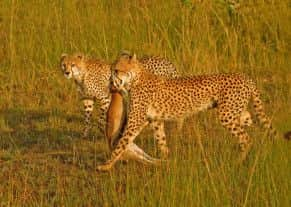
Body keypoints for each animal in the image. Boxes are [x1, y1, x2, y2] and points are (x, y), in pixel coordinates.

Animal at [97, 53, 278, 171]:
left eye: (116, 70)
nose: (110, 81)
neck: (136, 78)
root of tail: (245, 77)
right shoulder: (155, 120)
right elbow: (161, 140)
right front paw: (166, 159)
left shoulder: (136, 121)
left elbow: (121, 143)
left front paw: (106, 165)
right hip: (236, 112)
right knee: (250, 121)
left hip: (226, 115)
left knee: (246, 138)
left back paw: (238, 162)